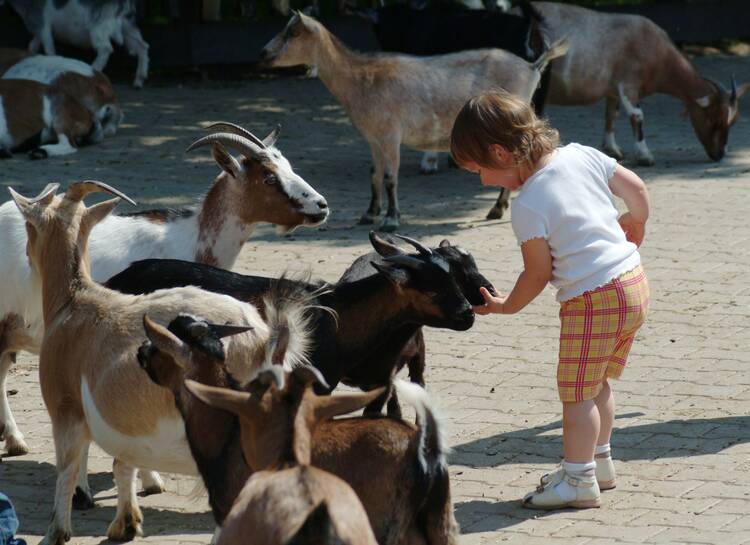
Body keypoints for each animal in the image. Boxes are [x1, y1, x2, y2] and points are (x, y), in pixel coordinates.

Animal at [1, 0, 150, 86]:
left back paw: (93, 70)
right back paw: (139, 80)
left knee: (105, 48)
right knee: (142, 46)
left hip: (100, 23)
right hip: (128, 26)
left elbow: (49, 48)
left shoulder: (42, 23)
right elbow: (33, 46)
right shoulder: (38, 28)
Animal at [7, 181, 312, 540]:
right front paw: (126, 522)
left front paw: (58, 531)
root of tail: (265, 341)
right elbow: (123, 463)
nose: (27, 256)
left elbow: (68, 468)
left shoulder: (64, 407)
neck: (75, 301)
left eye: (31, 226)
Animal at [262, 11, 568, 230]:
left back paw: (496, 208)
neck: (361, 79)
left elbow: (390, 178)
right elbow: (374, 175)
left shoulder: (390, 135)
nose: (264, 54)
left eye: (293, 32)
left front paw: (391, 219)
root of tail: (531, 66)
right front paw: (369, 214)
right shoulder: (373, 138)